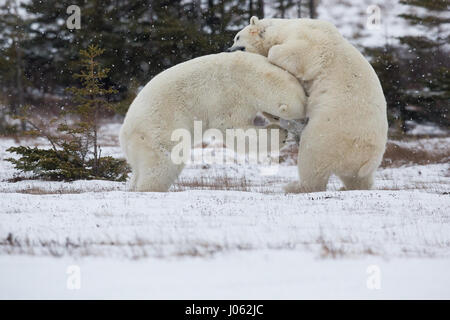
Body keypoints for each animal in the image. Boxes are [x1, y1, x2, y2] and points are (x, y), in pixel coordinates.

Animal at [119, 52, 306, 191]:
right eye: (297, 117)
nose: (303, 126)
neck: (249, 75)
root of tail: (125, 133)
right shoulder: (231, 96)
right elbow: (231, 127)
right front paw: (280, 133)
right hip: (157, 133)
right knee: (162, 164)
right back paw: (149, 188)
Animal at [230, 16, 388, 192]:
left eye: (237, 37)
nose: (229, 49)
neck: (284, 29)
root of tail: (367, 160)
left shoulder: (312, 43)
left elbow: (294, 54)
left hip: (328, 133)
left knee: (311, 160)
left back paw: (294, 186)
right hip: (356, 158)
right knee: (357, 178)